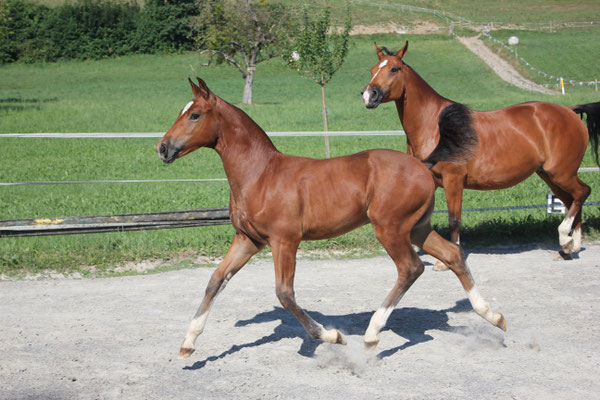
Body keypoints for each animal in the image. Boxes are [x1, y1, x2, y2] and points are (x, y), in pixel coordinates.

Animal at [157, 78, 504, 360]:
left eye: (195, 115)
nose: (163, 148)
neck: (261, 175)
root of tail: (423, 164)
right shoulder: (248, 240)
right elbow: (216, 280)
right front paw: (188, 344)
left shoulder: (285, 240)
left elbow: (285, 294)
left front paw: (332, 336)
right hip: (418, 228)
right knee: (453, 255)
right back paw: (493, 316)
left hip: (390, 228)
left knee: (411, 267)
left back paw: (371, 335)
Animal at [360, 42, 600, 266]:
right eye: (372, 69)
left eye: (394, 69)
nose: (368, 95)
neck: (436, 127)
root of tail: (570, 112)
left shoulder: (453, 180)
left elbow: (454, 219)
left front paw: (445, 261)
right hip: (549, 175)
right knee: (571, 199)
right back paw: (569, 247)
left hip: (562, 173)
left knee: (582, 193)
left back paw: (565, 239)